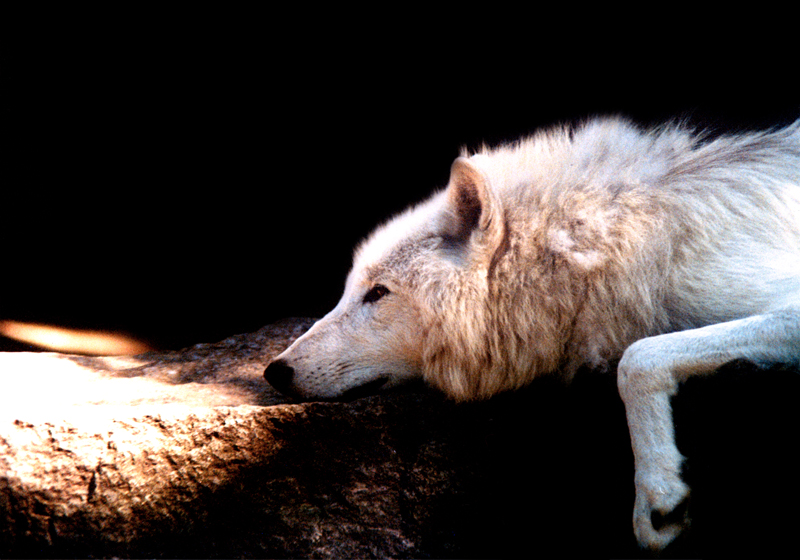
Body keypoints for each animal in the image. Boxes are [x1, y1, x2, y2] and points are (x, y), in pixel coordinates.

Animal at [264, 116, 800, 548]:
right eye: (348, 291)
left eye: (378, 293)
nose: (273, 371)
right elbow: (640, 355)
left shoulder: (787, 307)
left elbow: (638, 359)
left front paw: (656, 496)